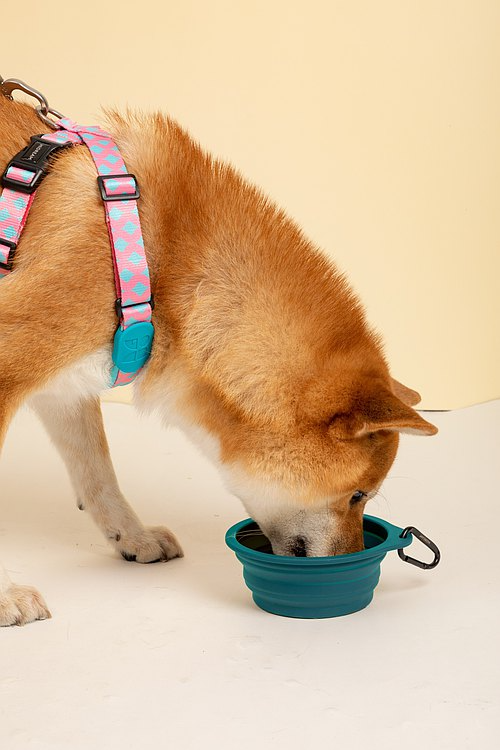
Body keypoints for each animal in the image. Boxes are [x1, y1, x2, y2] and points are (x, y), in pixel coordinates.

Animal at [0, 95, 436, 628]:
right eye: (358, 495)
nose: (354, 556)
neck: (156, 256)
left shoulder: (66, 385)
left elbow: (98, 474)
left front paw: (133, 537)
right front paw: (4, 596)